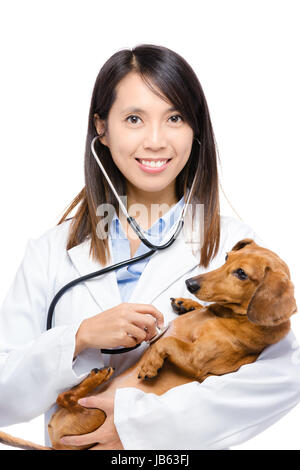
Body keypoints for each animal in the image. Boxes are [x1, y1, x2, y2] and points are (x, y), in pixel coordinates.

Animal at [0, 241, 296, 450]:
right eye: (226, 258)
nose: (190, 284)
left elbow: (168, 343)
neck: (229, 316)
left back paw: (97, 377)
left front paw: (151, 364)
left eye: (241, 274)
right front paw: (187, 305)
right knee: (63, 397)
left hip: (97, 414)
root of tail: (58, 448)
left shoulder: (198, 361)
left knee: (67, 398)